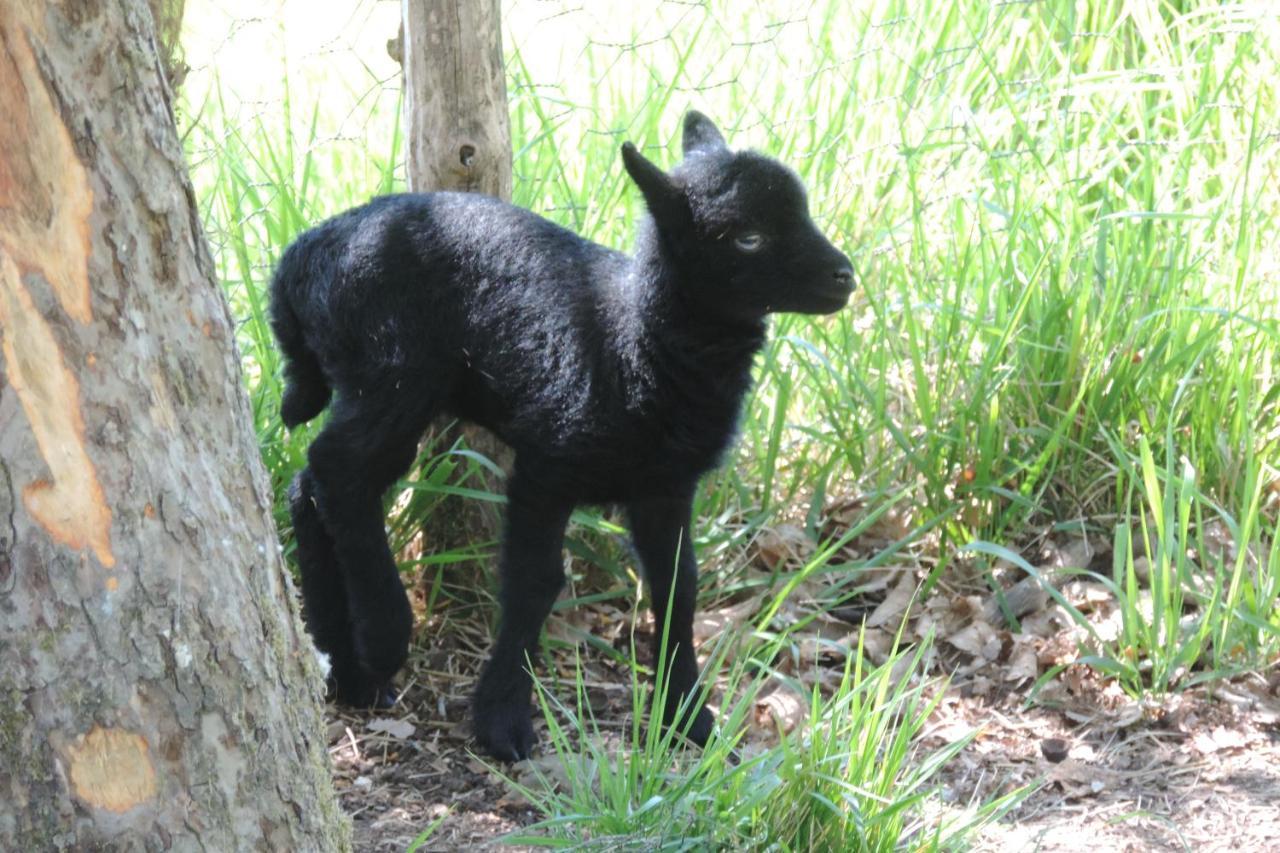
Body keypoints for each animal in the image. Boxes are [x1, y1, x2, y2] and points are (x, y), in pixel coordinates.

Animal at [268, 112, 849, 758]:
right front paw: (503, 721)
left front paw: (687, 718)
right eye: (748, 238)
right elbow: (535, 583)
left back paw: (347, 670)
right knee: (337, 472)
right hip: (392, 375)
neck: (632, 342)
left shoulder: (666, 486)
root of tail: (296, 262)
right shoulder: (546, 465)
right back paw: (383, 638)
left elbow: (679, 588)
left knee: (310, 485)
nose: (845, 277)